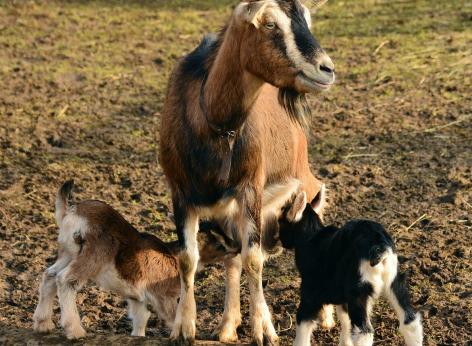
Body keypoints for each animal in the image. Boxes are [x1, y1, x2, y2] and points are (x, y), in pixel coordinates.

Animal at [160, 1, 334, 344]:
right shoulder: (180, 192)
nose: (326, 69)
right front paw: (183, 327)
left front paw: (264, 329)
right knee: (232, 259)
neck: (212, 123)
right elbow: (188, 260)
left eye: (306, 21)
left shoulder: (250, 187)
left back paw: (326, 317)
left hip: (302, 179)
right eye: (269, 24)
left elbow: (253, 259)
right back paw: (227, 326)